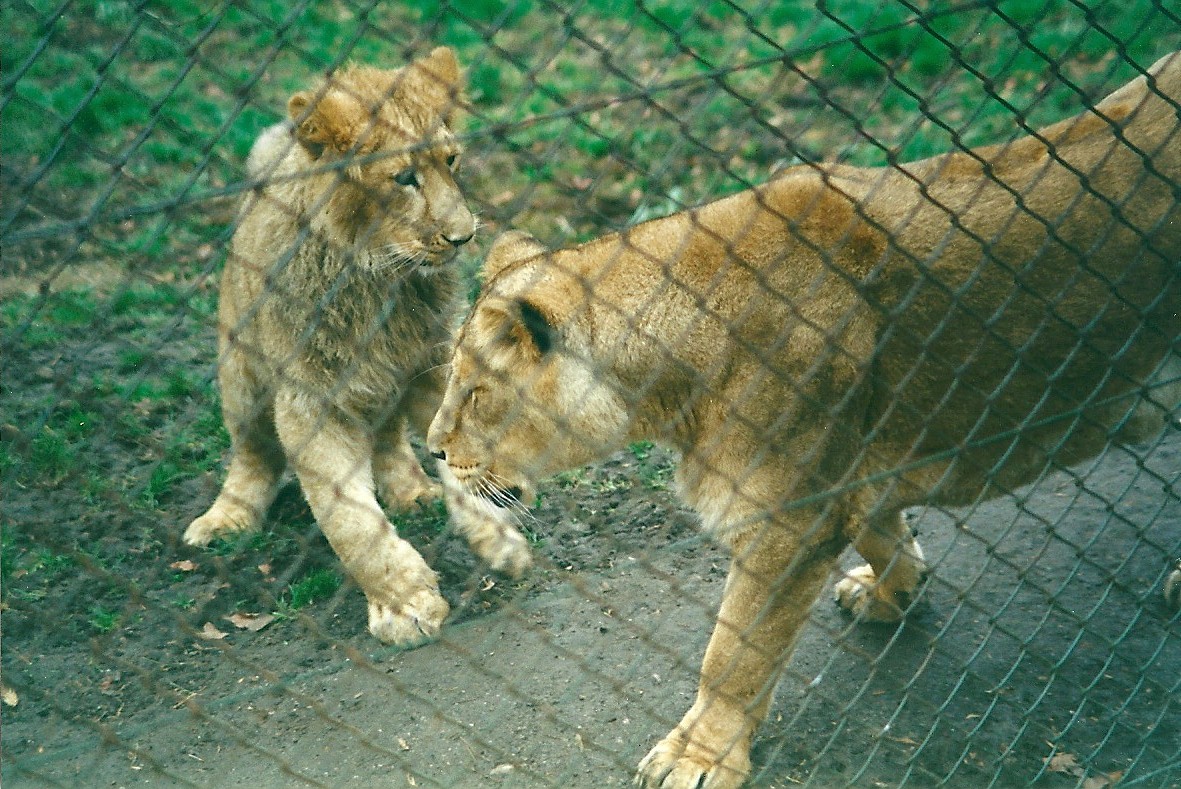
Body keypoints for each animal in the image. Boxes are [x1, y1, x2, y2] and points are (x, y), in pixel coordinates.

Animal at [184, 47, 531, 646]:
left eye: (452, 161)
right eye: (404, 177)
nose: (464, 236)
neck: (380, 283)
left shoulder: (433, 365)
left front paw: (497, 537)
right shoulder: (308, 402)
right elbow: (351, 520)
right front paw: (404, 604)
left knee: (388, 437)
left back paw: (413, 491)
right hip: (242, 375)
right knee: (252, 454)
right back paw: (227, 519)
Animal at [427, 51, 1181, 788]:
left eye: (475, 392)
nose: (432, 451)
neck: (671, 373)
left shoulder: (784, 520)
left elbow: (733, 652)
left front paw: (699, 756)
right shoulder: (840, 474)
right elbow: (882, 530)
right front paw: (895, 592)